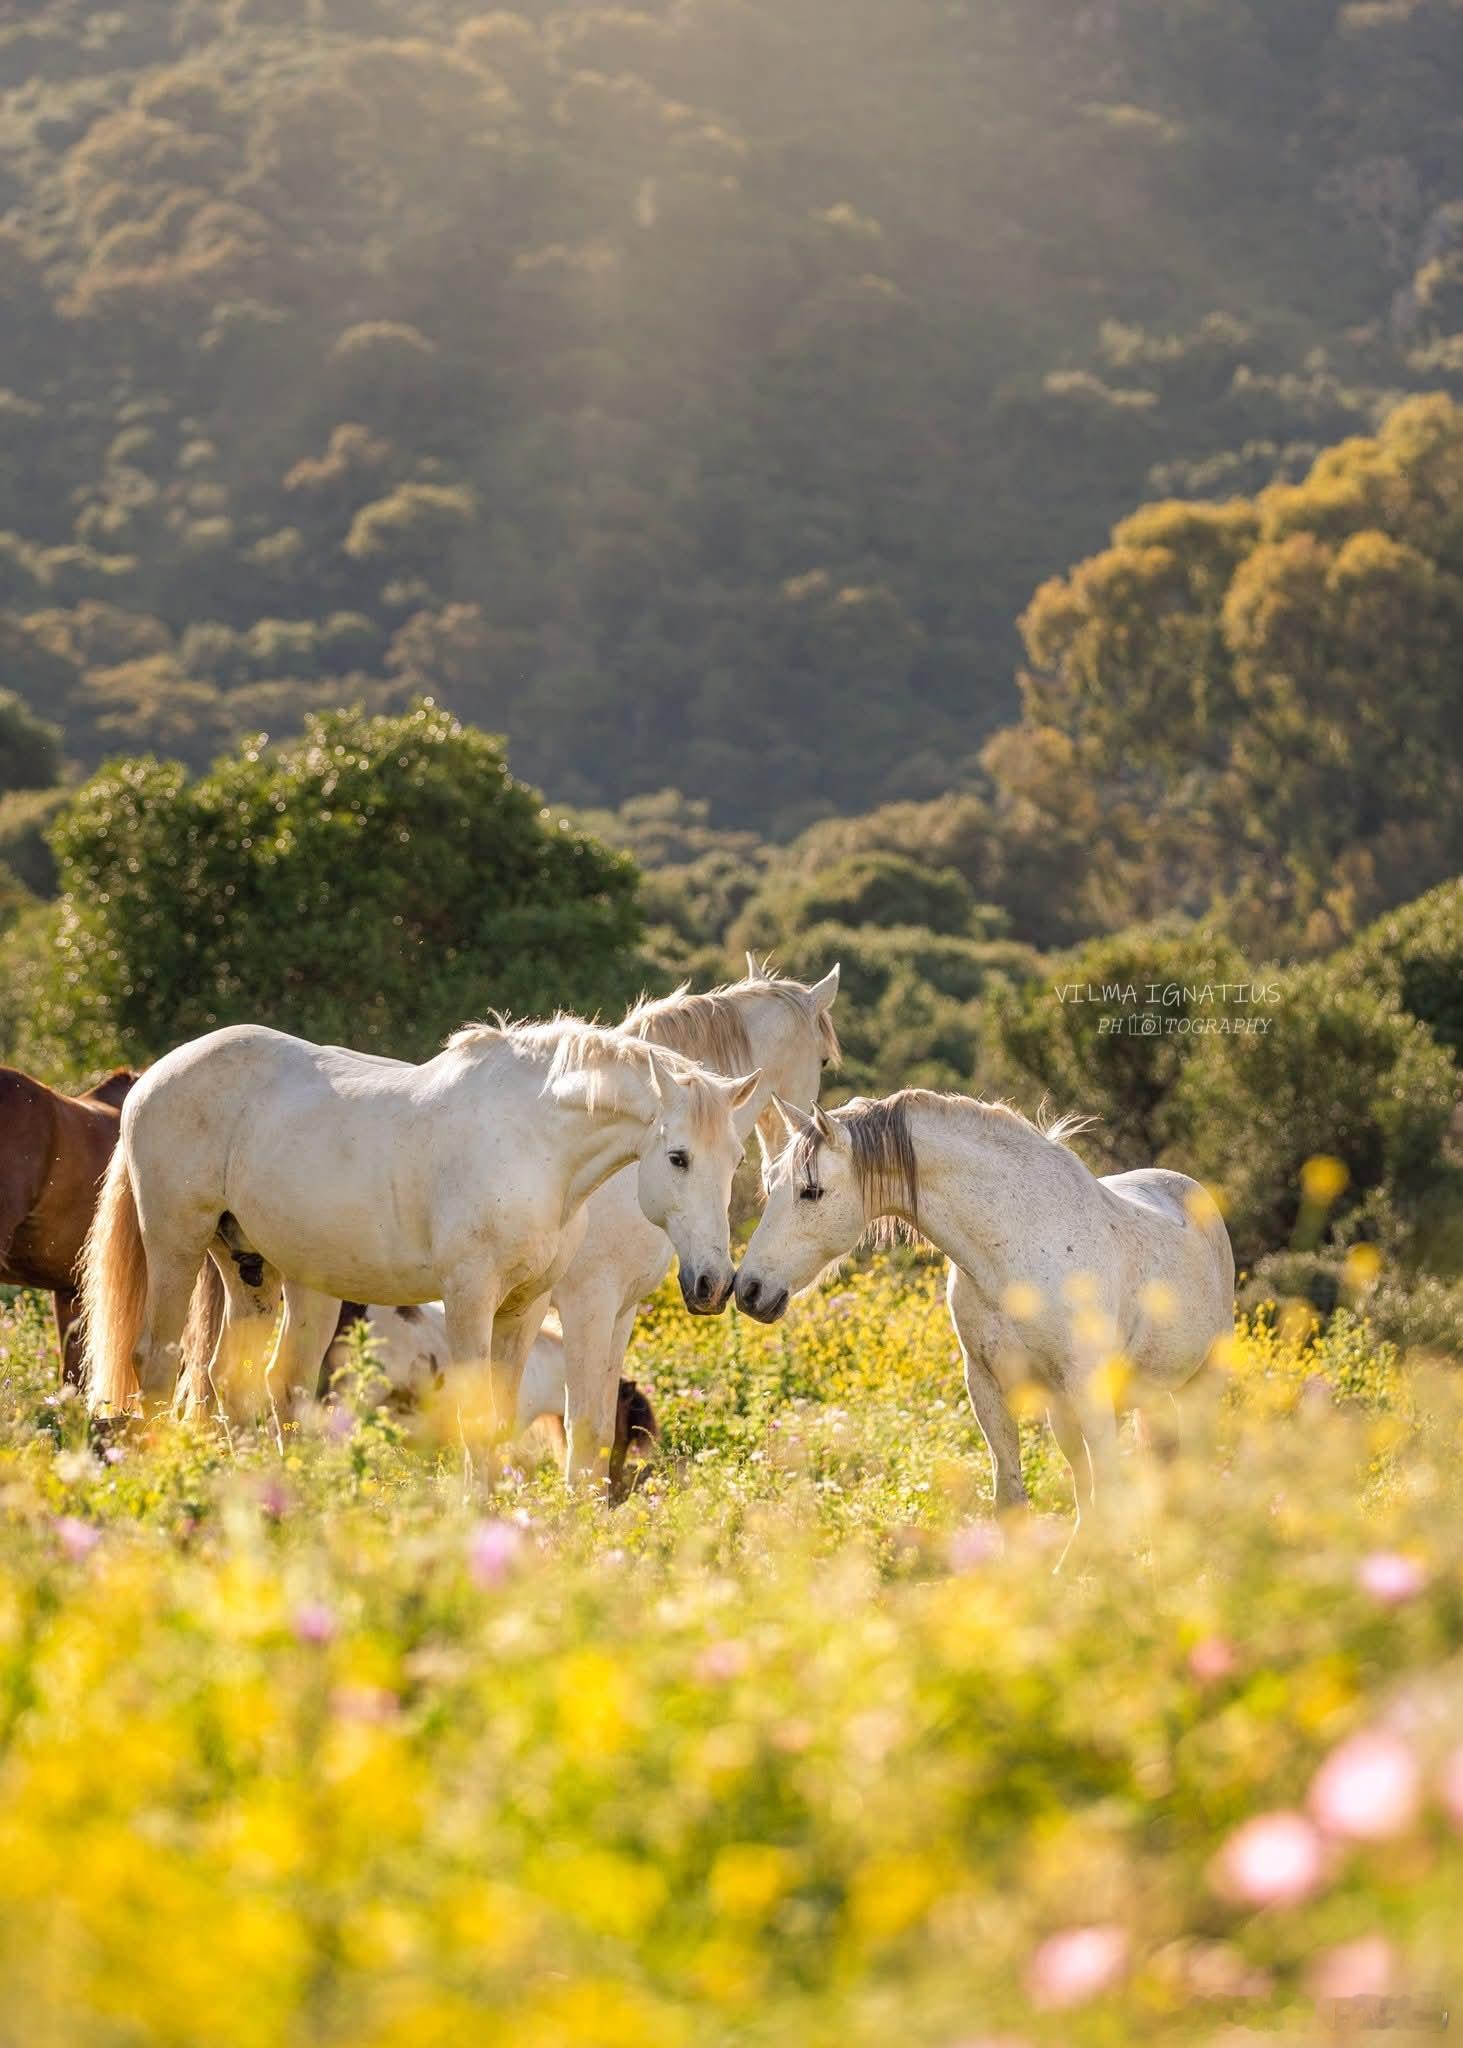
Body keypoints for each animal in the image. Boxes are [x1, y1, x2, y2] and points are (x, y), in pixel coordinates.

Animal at [80, 1017, 759, 1425]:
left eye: (736, 1160)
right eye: (678, 1157)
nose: (713, 1285)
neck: (533, 1144)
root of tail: (152, 1078)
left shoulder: (526, 1307)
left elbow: (500, 1417)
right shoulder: (469, 1299)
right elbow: (472, 1414)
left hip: (253, 1270)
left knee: (236, 1381)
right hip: (176, 1244)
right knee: (157, 1362)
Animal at [735, 1089, 1235, 1538]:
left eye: (811, 1191)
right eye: (770, 1184)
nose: (748, 1290)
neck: (1016, 1245)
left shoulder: (1087, 1388)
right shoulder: (987, 1385)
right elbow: (1013, 1498)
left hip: (1196, 1387)